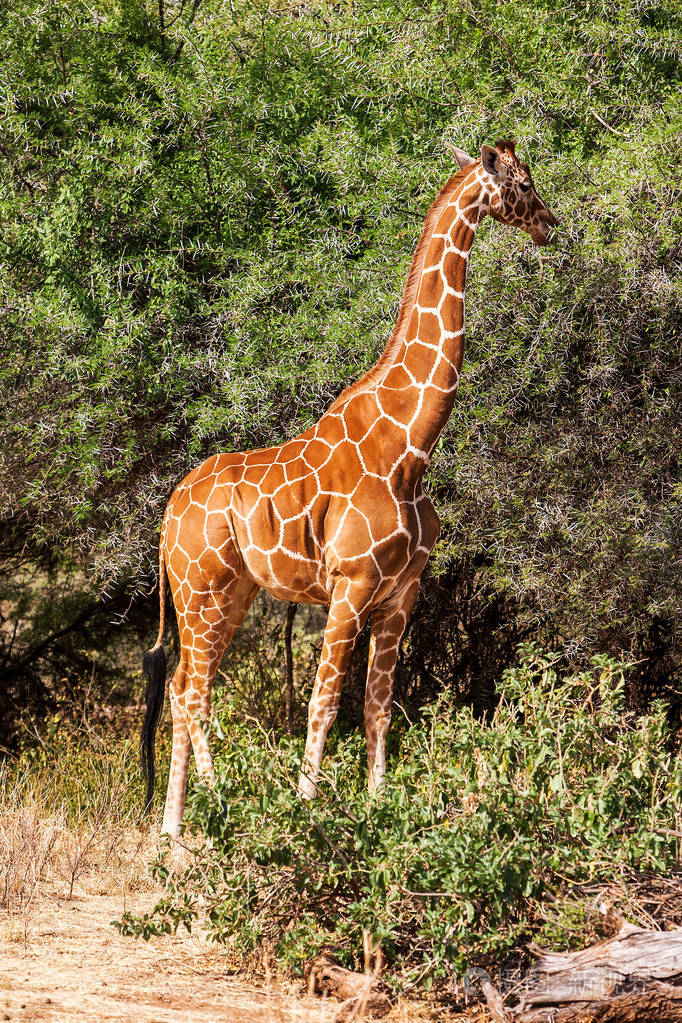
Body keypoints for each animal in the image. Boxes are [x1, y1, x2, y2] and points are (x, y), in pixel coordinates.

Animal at [141, 138, 556, 838]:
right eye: (522, 181)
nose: (549, 223)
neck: (412, 446)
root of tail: (169, 511)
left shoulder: (401, 592)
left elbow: (377, 706)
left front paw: (378, 808)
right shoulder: (352, 584)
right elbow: (324, 703)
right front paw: (309, 814)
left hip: (233, 593)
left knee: (183, 687)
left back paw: (194, 815)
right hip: (199, 589)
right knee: (190, 690)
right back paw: (198, 815)